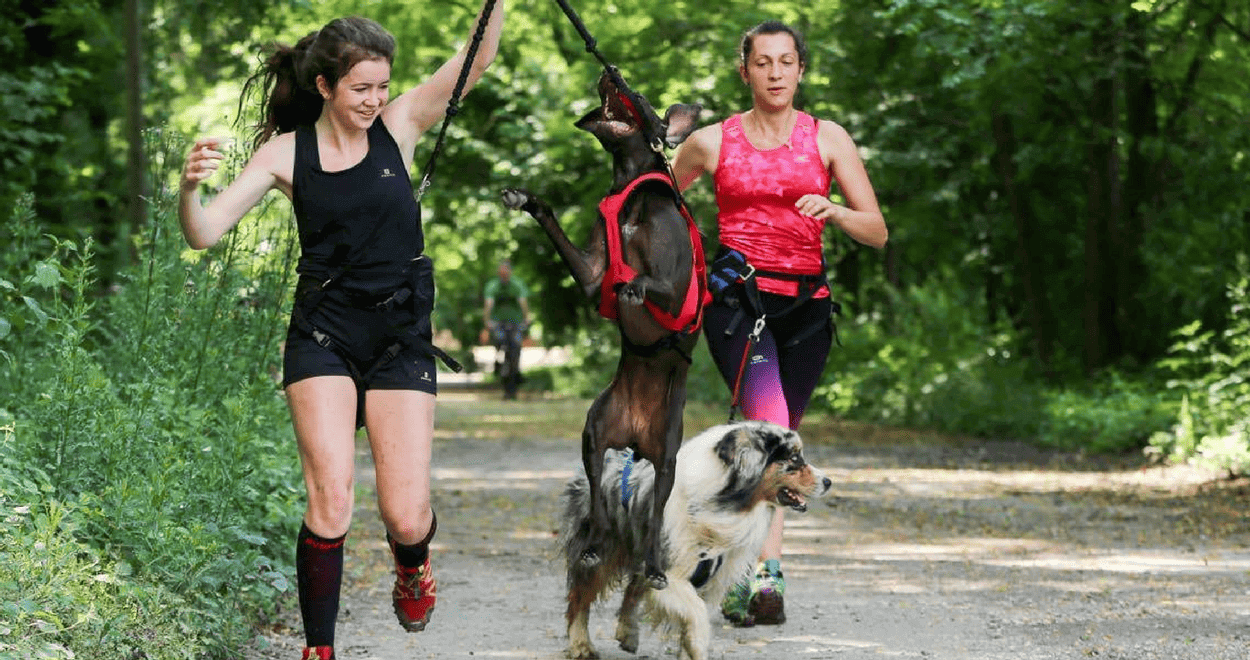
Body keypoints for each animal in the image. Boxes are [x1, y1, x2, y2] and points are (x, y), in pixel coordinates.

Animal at [505, 70, 705, 587]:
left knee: (654, 517)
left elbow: (651, 282)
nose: (608, 73)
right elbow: (557, 226)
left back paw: (653, 567)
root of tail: (634, 437)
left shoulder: (674, 285)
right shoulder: (594, 278)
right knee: (597, 499)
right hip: (595, 433)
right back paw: (594, 546)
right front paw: (527, 199)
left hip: (667, 458)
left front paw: (633, 287)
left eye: (638, 94)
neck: (629, 185)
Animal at [557, 420, 830, 655]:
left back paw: (628, 633)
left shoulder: (711, 577)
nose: (828, 481)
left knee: (633, 588)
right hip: (598, 551)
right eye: (794, 458)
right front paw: (698, 647)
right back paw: (581, 645)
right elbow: (697, 615)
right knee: (579, 597)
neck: (720, 502)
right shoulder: (669, 573)